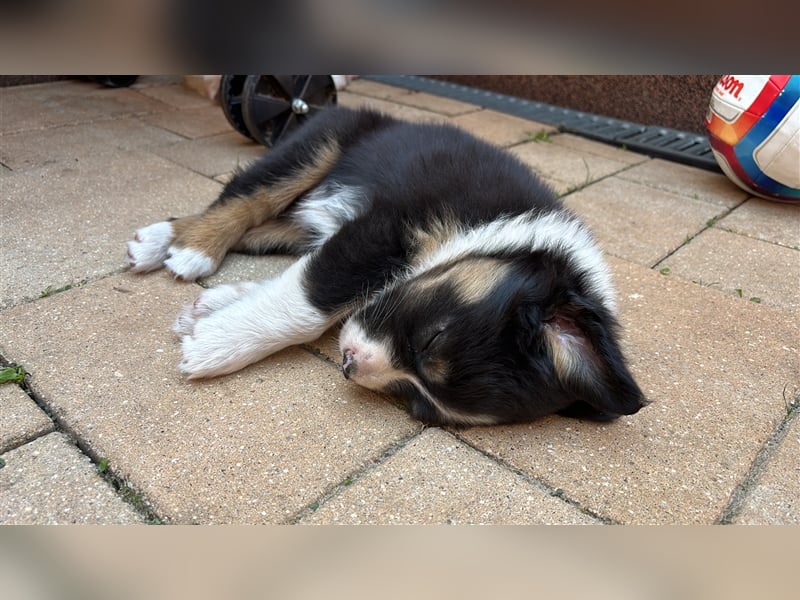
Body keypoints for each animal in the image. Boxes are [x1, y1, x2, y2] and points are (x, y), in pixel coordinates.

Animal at [128, 106, 648, 426]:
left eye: (418, 405)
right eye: (432, 339)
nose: (347, 364)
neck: (498, 227)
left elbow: (301, 283)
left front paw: (210, 313)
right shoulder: (383, 226)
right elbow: (309, 302)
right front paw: (215, 346)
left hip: (294, 223)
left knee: (262, 221)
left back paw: (165, 242)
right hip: (319, 145)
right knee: (244, 198)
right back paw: (182, 246)